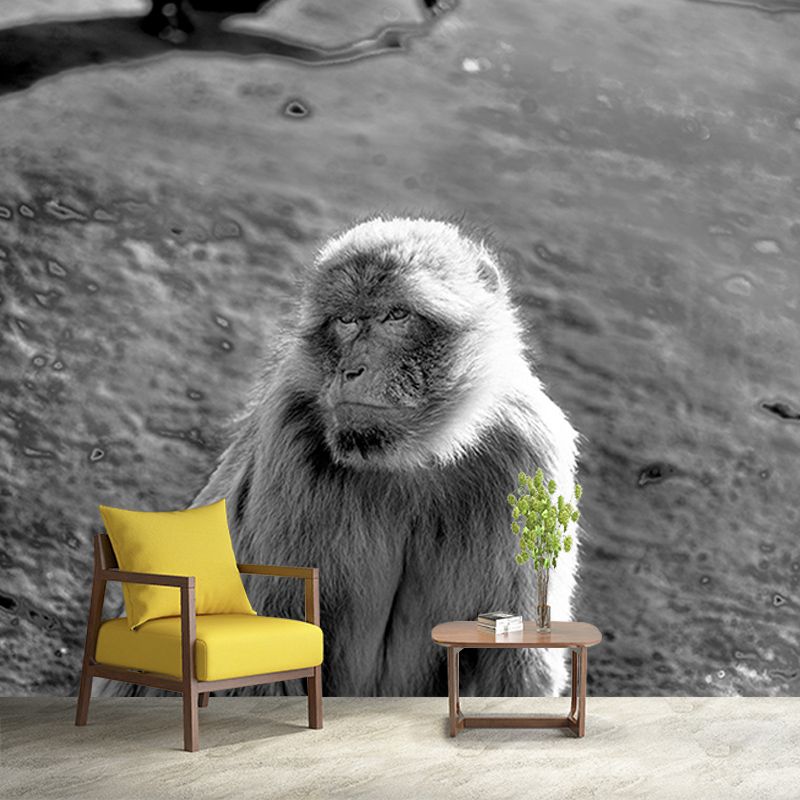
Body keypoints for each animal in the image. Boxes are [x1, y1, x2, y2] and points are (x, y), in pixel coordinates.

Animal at [188, 216, 581, 698]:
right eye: (346, 319)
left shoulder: (528, 451)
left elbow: (517, 661)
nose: (351, 369)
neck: (411, 459)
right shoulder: (288, 436)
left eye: (397, 315)